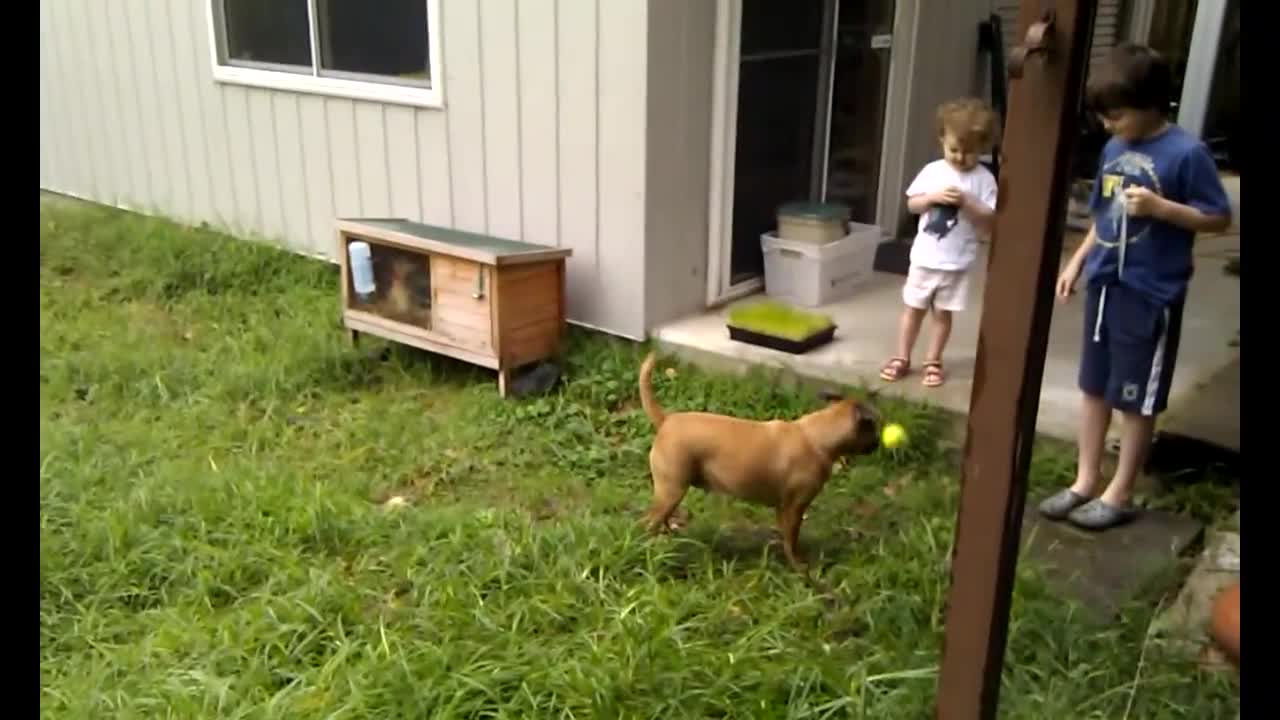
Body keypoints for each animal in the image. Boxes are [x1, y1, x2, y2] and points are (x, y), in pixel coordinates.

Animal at [637, 351, 880, 566]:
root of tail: (666, 420)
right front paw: (799, 566)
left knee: (659, 519)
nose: (878, 443)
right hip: (672, 491)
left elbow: (786, 536)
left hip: (671, 493)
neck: (816, 435)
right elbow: (792, 540)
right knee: (648, 522)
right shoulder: (795, 508)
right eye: (874, 429)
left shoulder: (783, 508)